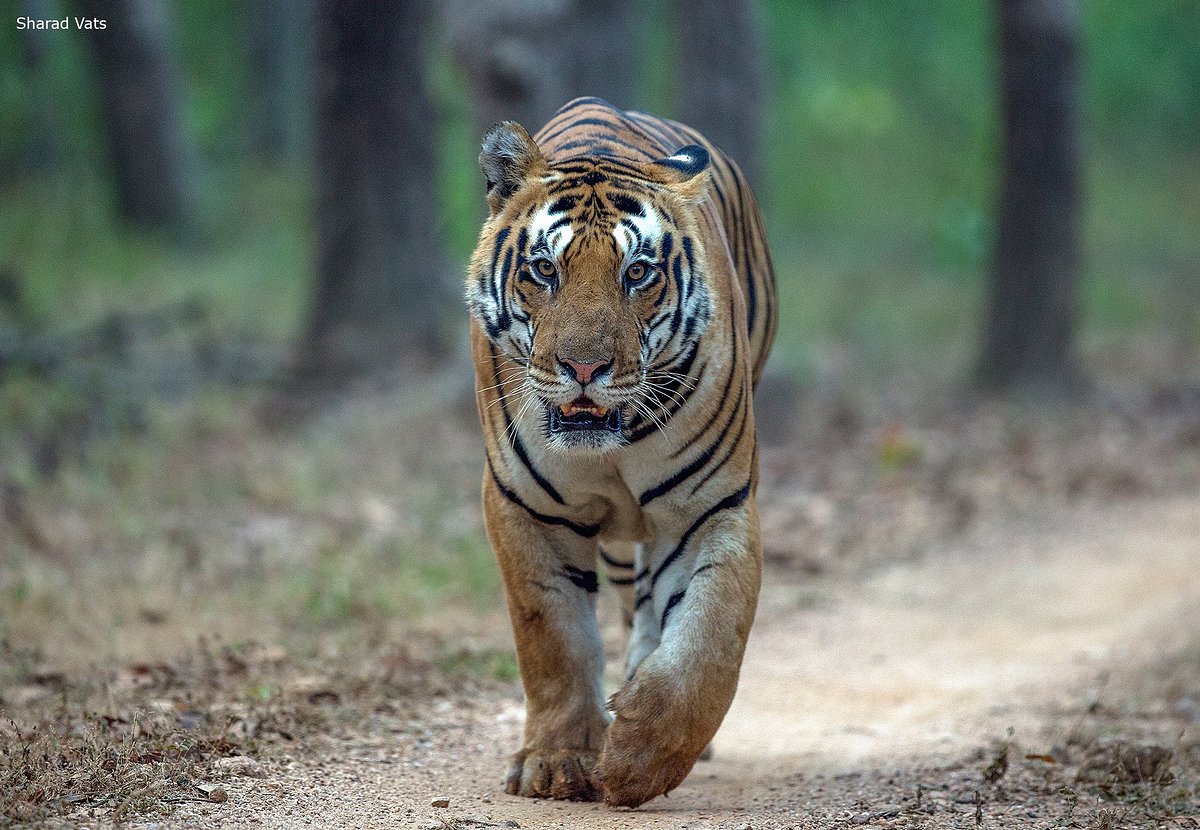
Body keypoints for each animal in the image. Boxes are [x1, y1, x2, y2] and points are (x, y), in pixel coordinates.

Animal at [458, 95, 777, 806]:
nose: (584, 367)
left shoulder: (712, 508)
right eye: (544, 269)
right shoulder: (526, 510)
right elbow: (555, 641)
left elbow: (710, 641)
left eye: (637, 274)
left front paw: (638, 760)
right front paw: (557, 762)